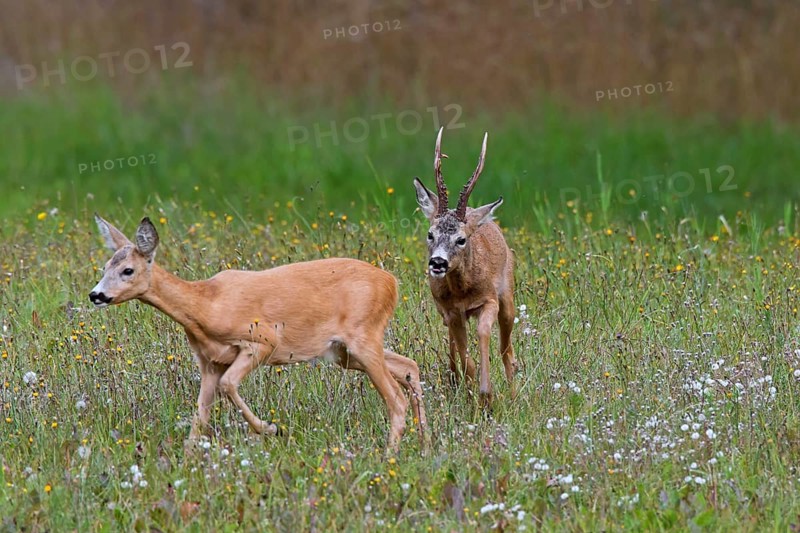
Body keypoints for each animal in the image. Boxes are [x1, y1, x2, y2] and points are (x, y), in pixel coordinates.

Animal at [88, 215, 427, 453]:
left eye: (128, 270)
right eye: (105, 266)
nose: (96, 295)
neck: (205, 306)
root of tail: (391, 282)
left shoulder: (262, 341)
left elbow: (228, 385)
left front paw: (271, 428)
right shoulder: (209, 362)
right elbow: (200, 416)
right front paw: (186, 461)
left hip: (362, 336)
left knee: (396, 398)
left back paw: (389, 456)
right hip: (344, 351)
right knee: (409, 367)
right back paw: (425, 443)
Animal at [412, 127, 516, 406]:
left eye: (461, 239)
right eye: (430, 234)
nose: (438, 262)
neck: (462, 292)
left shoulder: (489, 299)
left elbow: (483, 333)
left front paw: (486, 394)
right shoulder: (451, 311)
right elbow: (464, 353)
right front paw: (474, 392)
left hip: (507, 294)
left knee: (506, 347)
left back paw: (513, 391)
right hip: (443, 312)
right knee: (453, 345)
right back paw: (454, 380)